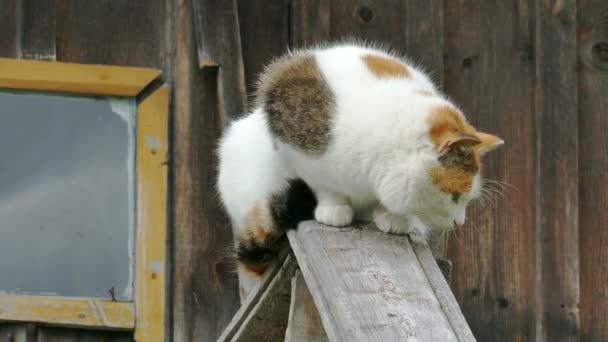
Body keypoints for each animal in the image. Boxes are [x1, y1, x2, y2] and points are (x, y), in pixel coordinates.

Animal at [217, 42, 504, 300]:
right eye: (454, 196)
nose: (460, 223)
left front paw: (392, 217)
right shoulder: (291, 126)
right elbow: (323, 183)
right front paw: (334, 208)